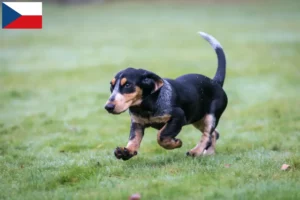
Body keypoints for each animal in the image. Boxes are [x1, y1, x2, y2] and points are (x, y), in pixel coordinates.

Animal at [105, 32, 227, 161]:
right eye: (111, 86)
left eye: (127, 85)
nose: (108, 107)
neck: (146, 105)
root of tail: (215, 82)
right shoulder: (137, 123)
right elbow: (134, 139)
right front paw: (126, 152)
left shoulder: (178, 116)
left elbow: (161, 136)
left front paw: (175, 143)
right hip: (197, 117)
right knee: (214, 134)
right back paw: (209, 153)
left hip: (210, 116)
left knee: (207, 134)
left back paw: (196, 151)